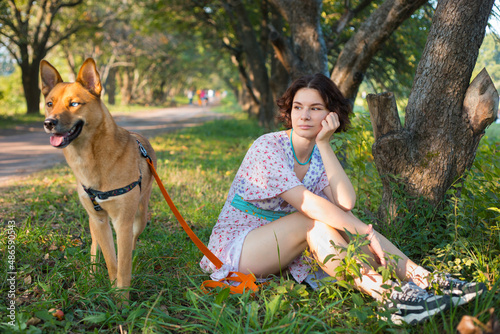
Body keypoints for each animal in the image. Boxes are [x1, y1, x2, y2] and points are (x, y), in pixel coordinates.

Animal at [40, 58, 156, 300]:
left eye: (74, 104)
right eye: (49, 103)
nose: (48, 123)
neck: (90, 157)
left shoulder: (123, 222)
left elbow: (123, 264)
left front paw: (122, 300)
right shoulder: (99, 220)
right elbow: (112, 262)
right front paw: (113, 291)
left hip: (140, 215)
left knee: (132, 240)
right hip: (94, 221)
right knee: (96, 245)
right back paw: (92, 274)